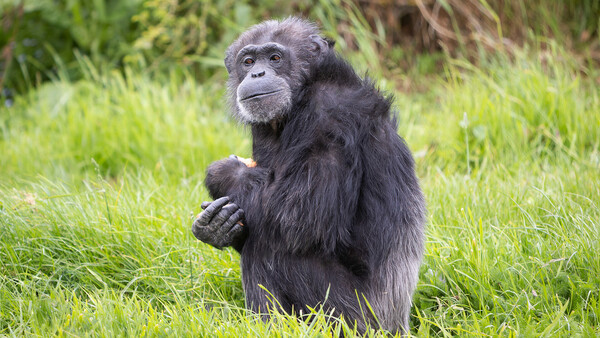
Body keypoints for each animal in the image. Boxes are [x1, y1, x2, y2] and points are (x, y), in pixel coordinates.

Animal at [193, 17, 426, 334]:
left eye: (275, 58)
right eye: (248, 61)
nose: (257, 73)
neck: (302, 94)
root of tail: (398, 325)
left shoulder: (330, 119)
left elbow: (297, 216)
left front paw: (221, 172)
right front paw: (217, 227)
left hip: (350, 316)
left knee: (272, 251)